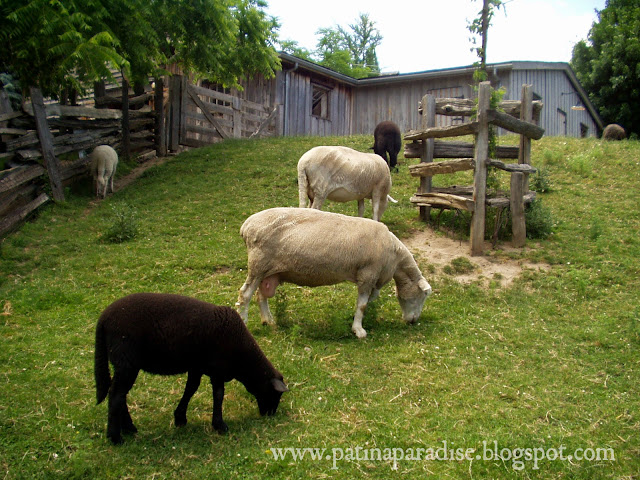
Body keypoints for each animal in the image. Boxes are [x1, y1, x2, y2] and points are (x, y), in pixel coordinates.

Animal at [94, 293, 288, 444]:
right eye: (275, 394)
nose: (270, 415)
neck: (243, 359)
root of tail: (103, 319)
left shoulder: (197, 366)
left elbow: (191, 389)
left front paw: (180, 418)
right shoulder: (217, 369)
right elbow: (218, 395)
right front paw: (219, 425)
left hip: (124, 364)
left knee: (119, 394)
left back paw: (129, 428)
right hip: (127, 361)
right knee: (116, 395)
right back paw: (115, 437)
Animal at [236, 208, 432, 339]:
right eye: (422, 296)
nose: (413, 321)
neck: (393, 256)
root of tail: (245, 226)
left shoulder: (371, 278)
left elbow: (367, 301)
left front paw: (356, 320)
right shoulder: (368, 274)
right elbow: (362, 304)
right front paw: (359, 330)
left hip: (267, 272)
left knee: (261, 295)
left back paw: (268, 321)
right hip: (258, 265)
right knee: (245, 294)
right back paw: (245, 322)